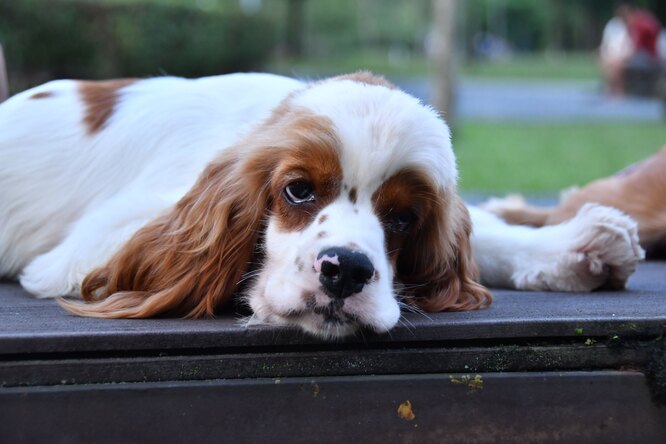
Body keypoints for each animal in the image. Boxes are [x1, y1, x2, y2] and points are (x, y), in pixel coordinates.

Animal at [0, 71, 644, 338]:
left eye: (404, 218)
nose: (346, 272)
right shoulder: (81, 251)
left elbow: (482, 231)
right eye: (298, 189)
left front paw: (573, 249)